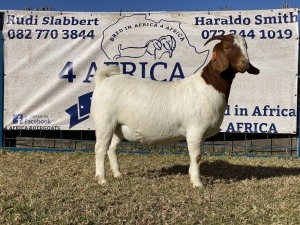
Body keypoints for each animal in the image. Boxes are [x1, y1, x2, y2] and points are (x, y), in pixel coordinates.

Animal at [90, 33, 258, 188]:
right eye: (227, 47)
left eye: (246, 46)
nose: (245, 63)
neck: (207, 86)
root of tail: (103, 81)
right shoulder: (195, 129)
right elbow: (197, 156)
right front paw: (197, 183)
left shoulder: (200, 134)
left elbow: (195, 157)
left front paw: (191, 175)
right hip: (105, 122)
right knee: (100, 148)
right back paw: (102, 179)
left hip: (118, 127)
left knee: (112, 148)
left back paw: (118, 174)